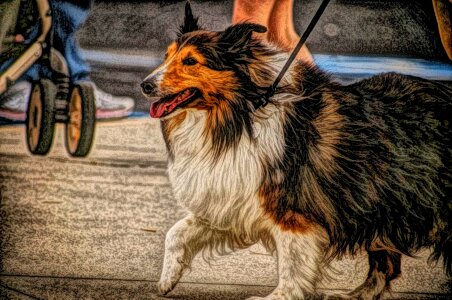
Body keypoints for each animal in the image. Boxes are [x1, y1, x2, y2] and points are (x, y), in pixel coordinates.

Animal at [141, 2, 452, 300]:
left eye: (191, 61)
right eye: (167, 56)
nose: (144, 86)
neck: (243, 112)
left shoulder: (292, 211)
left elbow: (292, 262)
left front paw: (279, 296)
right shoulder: (232, 198)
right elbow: (176, 233)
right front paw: (168, 278)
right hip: (381, 204)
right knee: (385, 262)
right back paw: (356, 295)